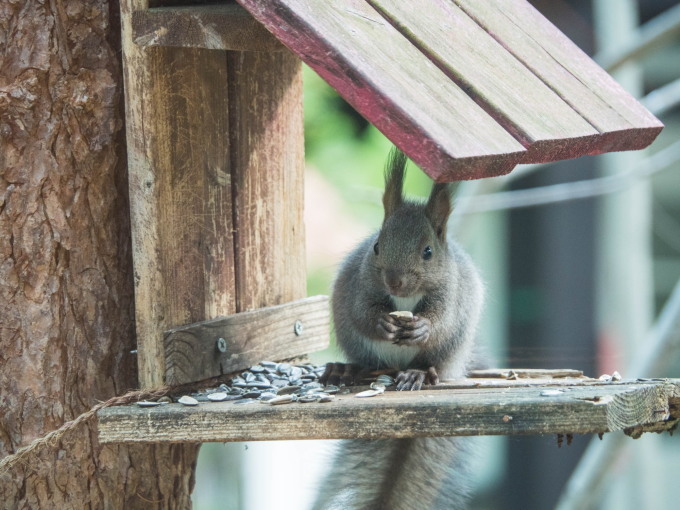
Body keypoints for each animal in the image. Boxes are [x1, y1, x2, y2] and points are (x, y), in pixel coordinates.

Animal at [314, 147, 484, 510]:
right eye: (377, 245)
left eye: (428, 251)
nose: (394, 281)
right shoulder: (360, 283)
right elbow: (361, 312)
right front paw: (381, 322)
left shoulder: (450, 293)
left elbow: (441, 319)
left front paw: (421, 328)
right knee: (367, 363)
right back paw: (345, 370)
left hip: (450, 350)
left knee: (433, 364)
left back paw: (419, 374)